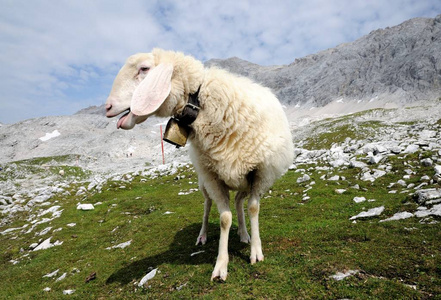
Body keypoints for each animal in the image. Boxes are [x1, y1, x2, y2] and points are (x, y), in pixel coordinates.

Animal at [105, 48, 294, 280]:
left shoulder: (260, 173)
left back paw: (244, 233)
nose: (108, 107)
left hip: (243, 181)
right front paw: (221, 265)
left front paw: (256, 251)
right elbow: (224, 218)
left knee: (239, 201)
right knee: (207, 206)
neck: (199, 102)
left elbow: (252, 209)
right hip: (205, 184)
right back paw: (203, 235)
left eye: (144, 68)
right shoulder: (213, 177)